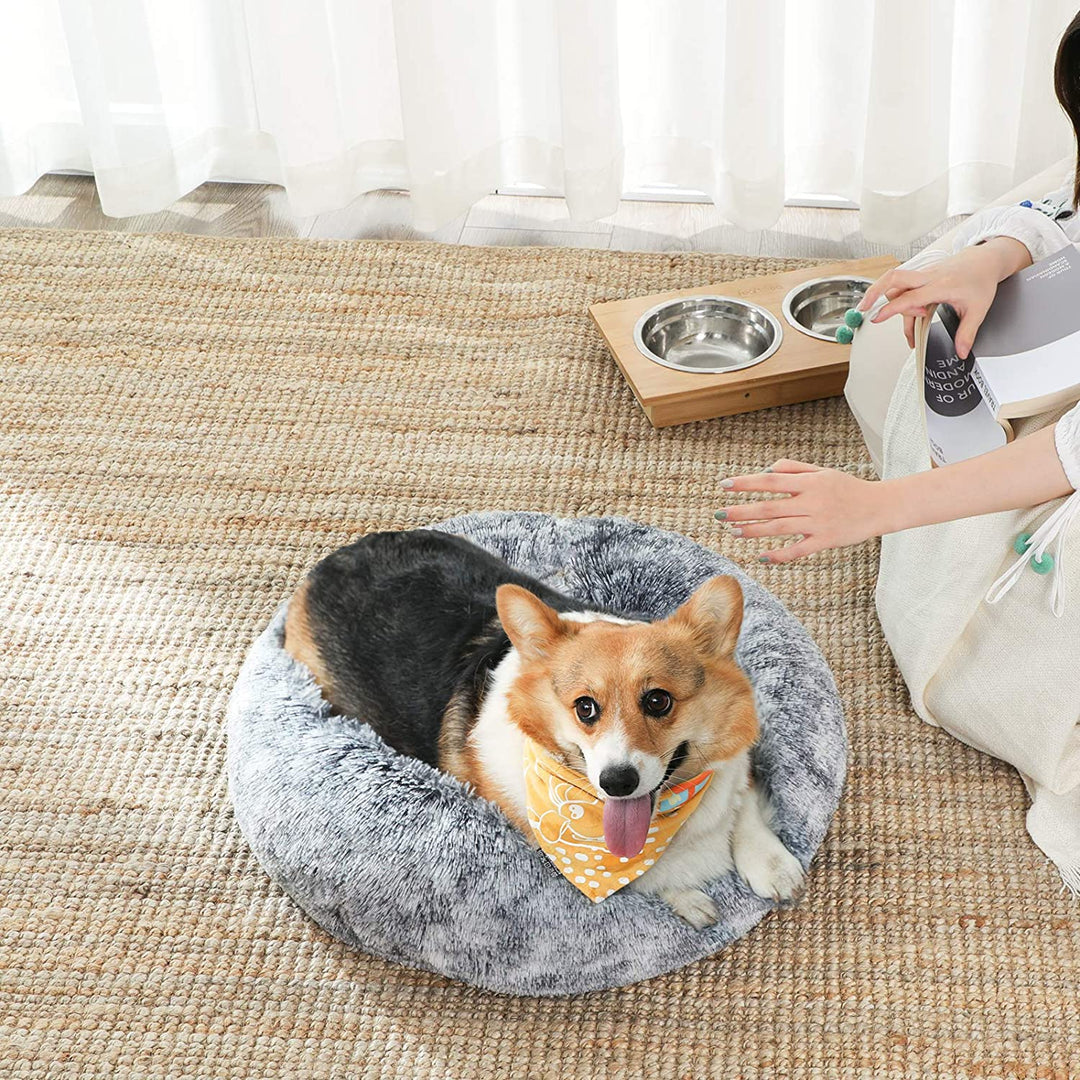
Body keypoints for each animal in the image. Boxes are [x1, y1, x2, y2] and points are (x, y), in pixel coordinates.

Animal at [282, 527, 807, 924]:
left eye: (659, 700)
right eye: (585, 708)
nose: (617, 783)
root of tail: (329, 561)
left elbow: (744, 801)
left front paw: (772, 863)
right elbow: (650, 879)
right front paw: (689, 899)